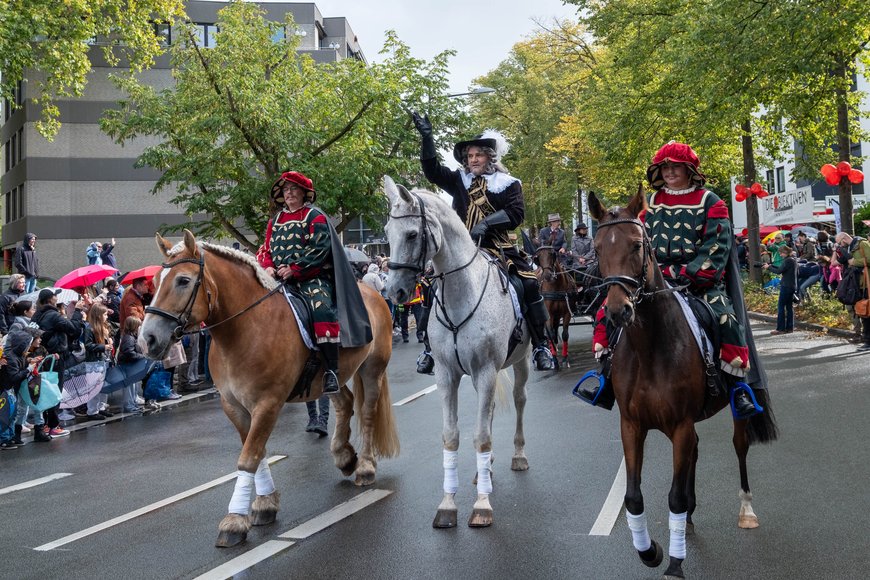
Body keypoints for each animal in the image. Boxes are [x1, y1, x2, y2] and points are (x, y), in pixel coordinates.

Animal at [141, 229, 402, 548]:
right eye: (155, 281)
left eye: (183, 280)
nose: (148, 339)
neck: (245, 330)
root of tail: (373, 292)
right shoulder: (234, 406)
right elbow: (257, 452)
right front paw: (264, 503)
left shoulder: (268, 403)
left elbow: (249, 457)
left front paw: (235, 520)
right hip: (332, 376)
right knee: (345, 402)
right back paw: (343, 456)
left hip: (372, 368)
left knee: (366, 411)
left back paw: (365, 465)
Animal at [588, 191, 780, 580]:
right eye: (598, 248)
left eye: (636, 245)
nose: (617, 311)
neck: (650, 347)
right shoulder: (632, 426)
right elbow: (633, 497)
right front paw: (650, 551)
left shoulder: (679, 425)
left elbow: (673, 495)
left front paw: (675, 563)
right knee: (695, 452)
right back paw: (689, 517)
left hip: (733, 406)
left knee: (739, 447)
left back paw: (745, 510)